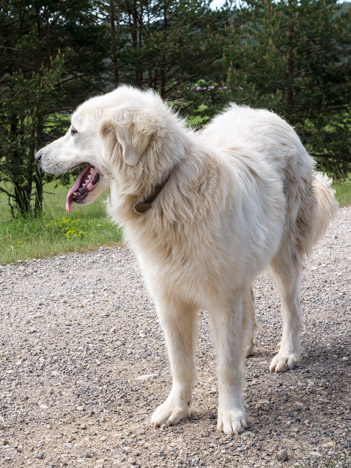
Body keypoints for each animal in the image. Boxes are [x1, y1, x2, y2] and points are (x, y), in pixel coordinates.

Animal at [35, 85, 338, 436]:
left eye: (73, 131)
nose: (36, 157)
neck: (166, 188)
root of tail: (265, 113)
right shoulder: (169, 301)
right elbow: (180, 364)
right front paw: (176, 408)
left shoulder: (222, 298)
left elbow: (226, 367)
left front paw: (231, 414)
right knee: (249, 301)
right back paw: (246, 344)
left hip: (284, 252)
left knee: (291, 308)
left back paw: (288, 353)